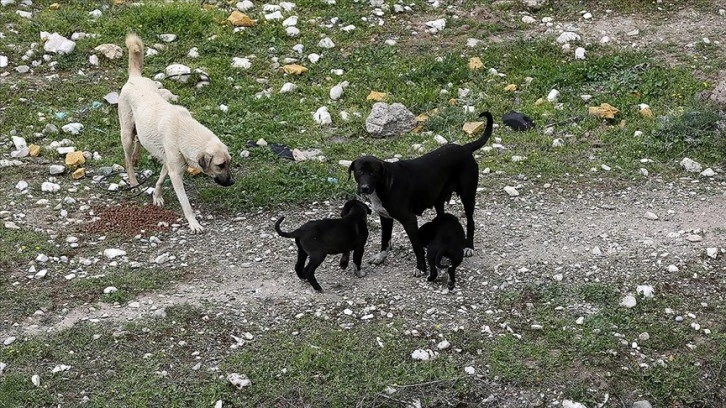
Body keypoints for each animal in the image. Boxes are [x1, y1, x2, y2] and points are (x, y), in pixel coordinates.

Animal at [118, 32, 235, 233]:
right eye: (220, 165)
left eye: (229, 163)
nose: (232, 182)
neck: (183, 130)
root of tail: (135, 77)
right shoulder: (175, 172)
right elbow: (185, 203)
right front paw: (194, 223)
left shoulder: (169, 164)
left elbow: (159, 180)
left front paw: (157, 197)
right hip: (125, 133)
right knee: (127, 160)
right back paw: (133, 181)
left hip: (139, 127)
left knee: (139, 140)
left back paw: (136, 157)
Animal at [346, 111, 494, 274]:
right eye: (359, 171)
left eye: (374, 173)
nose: (365, 188)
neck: (385, 183)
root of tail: (465, 148)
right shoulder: (385, 217)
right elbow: (385, 240)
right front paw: (381, 257)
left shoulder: (409, 219)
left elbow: (416, 246)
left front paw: (421, 267)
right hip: (439, 200)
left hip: (467, 196)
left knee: (470, 222)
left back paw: (468, 246)